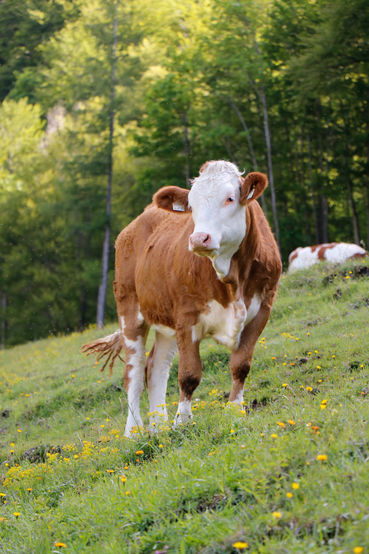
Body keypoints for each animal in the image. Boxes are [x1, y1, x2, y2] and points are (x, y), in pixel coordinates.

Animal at [82, 160, 280, 436]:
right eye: (192, 206)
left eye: (229, 198)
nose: (198, 238)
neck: (232, 280)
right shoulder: (187, 317)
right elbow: (189, 374)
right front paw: (183, 421)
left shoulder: (262, 310)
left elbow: (240, 365)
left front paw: (234, 412)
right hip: (129, 310)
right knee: (134, 373)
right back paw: (134, 432)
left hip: (165, 321)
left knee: (155, 368)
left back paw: (158, 426)